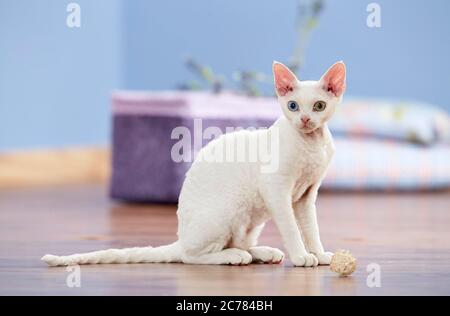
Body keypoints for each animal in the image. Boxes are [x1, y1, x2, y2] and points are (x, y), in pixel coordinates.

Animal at [42, 61, 346, 266]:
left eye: (318, 106)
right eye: (293, 106)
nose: (304, 120)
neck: (312, 144)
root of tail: (182, 237)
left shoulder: (306, 196)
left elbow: (311, 228)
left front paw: (318, 254)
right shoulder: (276, 190)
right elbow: (292, 228)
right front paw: (301, 256)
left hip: (250, 221)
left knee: (239, 243)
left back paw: (260, 252)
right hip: (226, 212)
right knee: (192, 256)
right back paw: (234, 256)